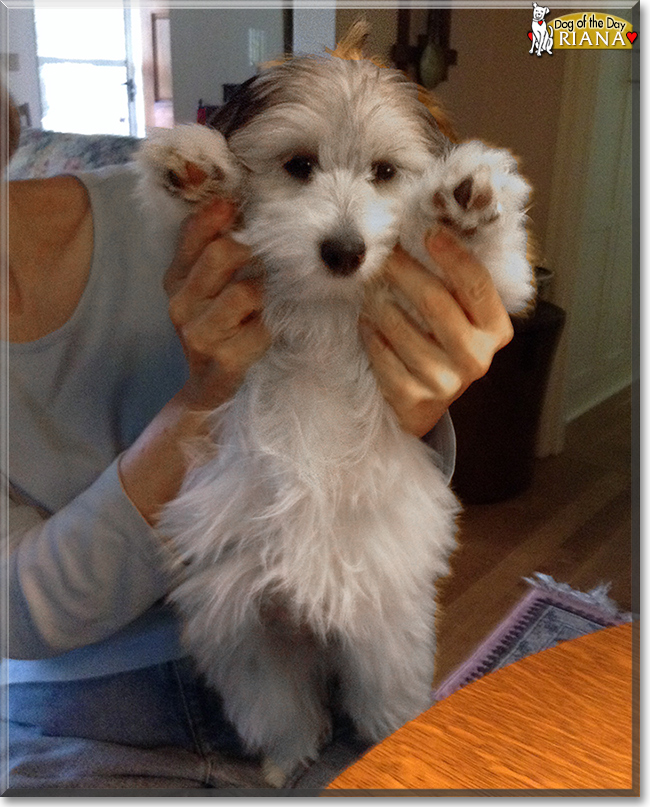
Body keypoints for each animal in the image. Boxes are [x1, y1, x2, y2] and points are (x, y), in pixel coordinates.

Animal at [138, 47, 532, 784]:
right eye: (298, 166)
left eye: (384, 173)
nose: (346, 251)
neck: (326, 301)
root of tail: (310, 617)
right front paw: (196, 165)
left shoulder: (462, 283)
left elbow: (489, 261)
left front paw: (469, 198)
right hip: (248, 643)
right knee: (282, 708)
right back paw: (285, 759)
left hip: (385, 646)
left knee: (380, 699)